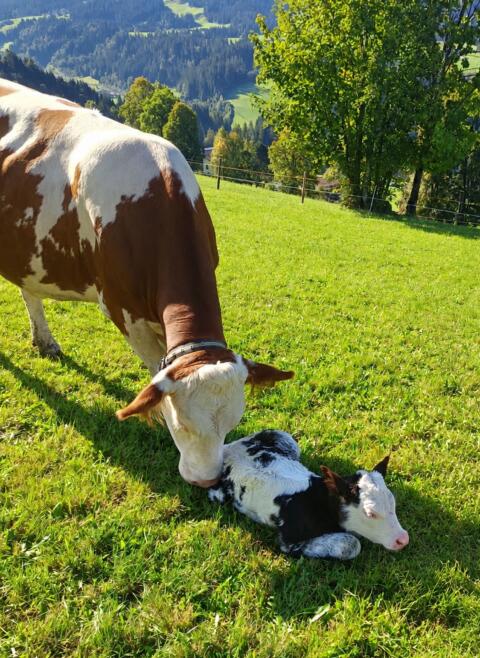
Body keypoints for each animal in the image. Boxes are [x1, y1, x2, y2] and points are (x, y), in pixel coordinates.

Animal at [0, 78, 293, 487]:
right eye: (182, 425)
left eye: (232, 424)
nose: (206, 481)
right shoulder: (122, 309)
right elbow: (155, 374)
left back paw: (45, 341)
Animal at [209, 430, 409, 558]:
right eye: (370, 513)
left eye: (393, 503)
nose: (403, 539)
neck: (318, 501)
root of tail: (229, 448)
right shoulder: (288, 539)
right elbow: (351, 544)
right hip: (217, 491)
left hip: (284, 436)